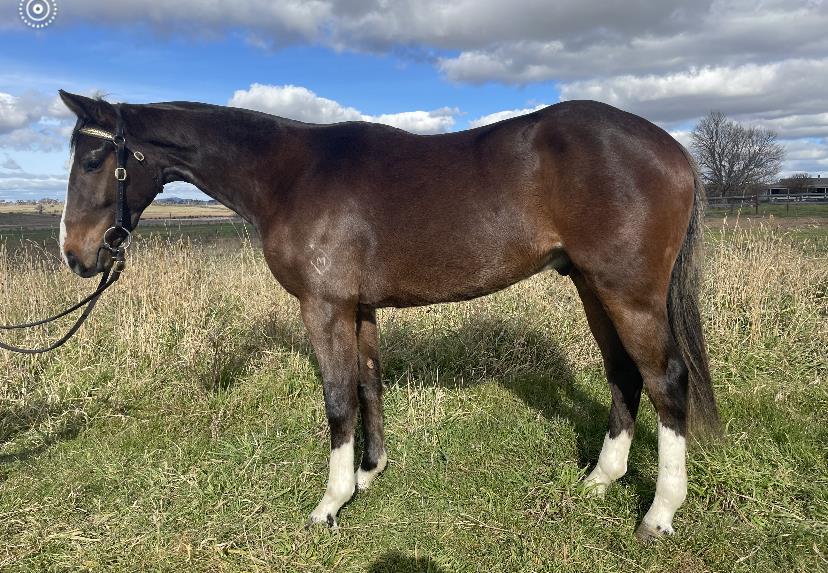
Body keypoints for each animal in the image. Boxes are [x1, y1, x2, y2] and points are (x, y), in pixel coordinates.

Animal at [56, 90, 719, 541]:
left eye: (92, 161)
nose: (76, 256)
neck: (289, 175)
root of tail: (673, 149)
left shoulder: (324, 306)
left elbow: (337, 399)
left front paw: (330, 502)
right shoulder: (361, 307)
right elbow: (368, 386)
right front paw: (367, 477)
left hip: (627, 292)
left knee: (666, 380)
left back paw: (659, 513)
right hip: (591, 285)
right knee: (623, 374)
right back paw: (600, 481)